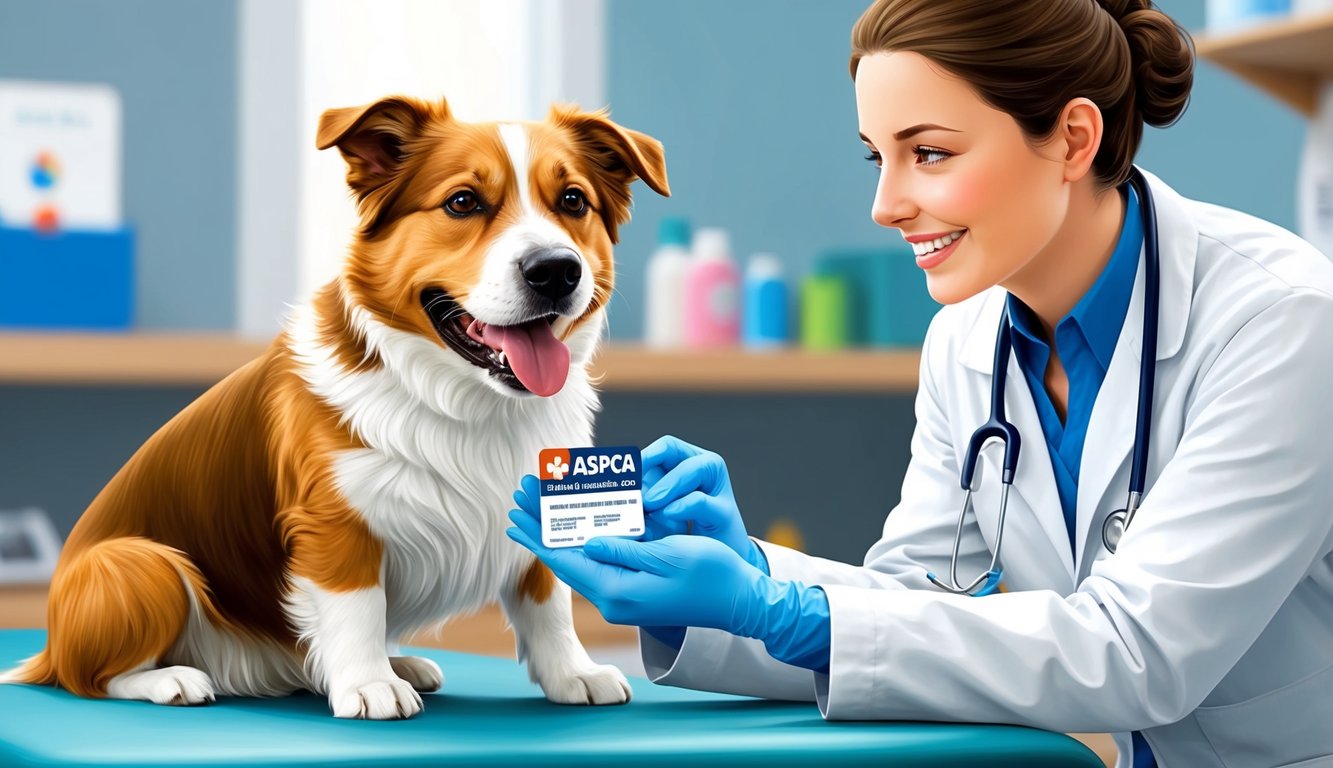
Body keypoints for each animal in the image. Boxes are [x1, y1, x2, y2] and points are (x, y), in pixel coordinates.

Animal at [0, 96, 666, 720]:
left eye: (574, 201)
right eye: (462, 203)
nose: (555, 271)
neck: (467, 401)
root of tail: (49, 644)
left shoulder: (539, 508)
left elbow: (547, 602)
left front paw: (573, 674)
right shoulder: (334, 525)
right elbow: (357, 606)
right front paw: (369, 685)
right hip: (141, 562)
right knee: (91, 677)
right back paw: (173, 680)